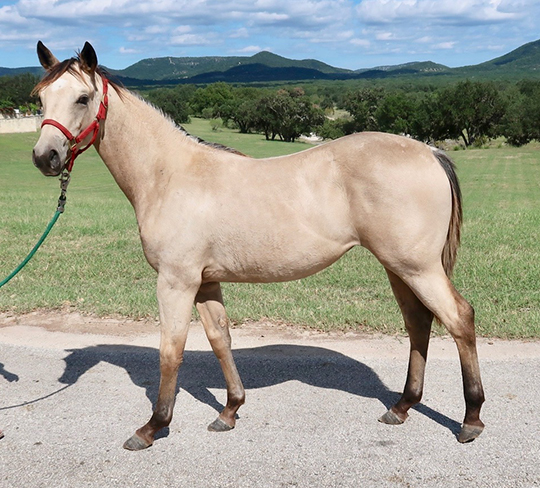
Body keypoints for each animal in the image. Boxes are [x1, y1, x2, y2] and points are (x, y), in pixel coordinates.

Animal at [30, 42, 486, 450]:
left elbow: (170, 351)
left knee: (459, 319)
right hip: (398, 267)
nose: (44, 157)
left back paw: (471, 419)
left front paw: (152, 427)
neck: (169, 175)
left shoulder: (176, 282)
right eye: (40, 98)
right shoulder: (205, 282)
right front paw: (229, 410)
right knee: (418, 323)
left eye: (83, 97)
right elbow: (220, 340)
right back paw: (403, 406)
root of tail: (428, 150)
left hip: (417, 267)